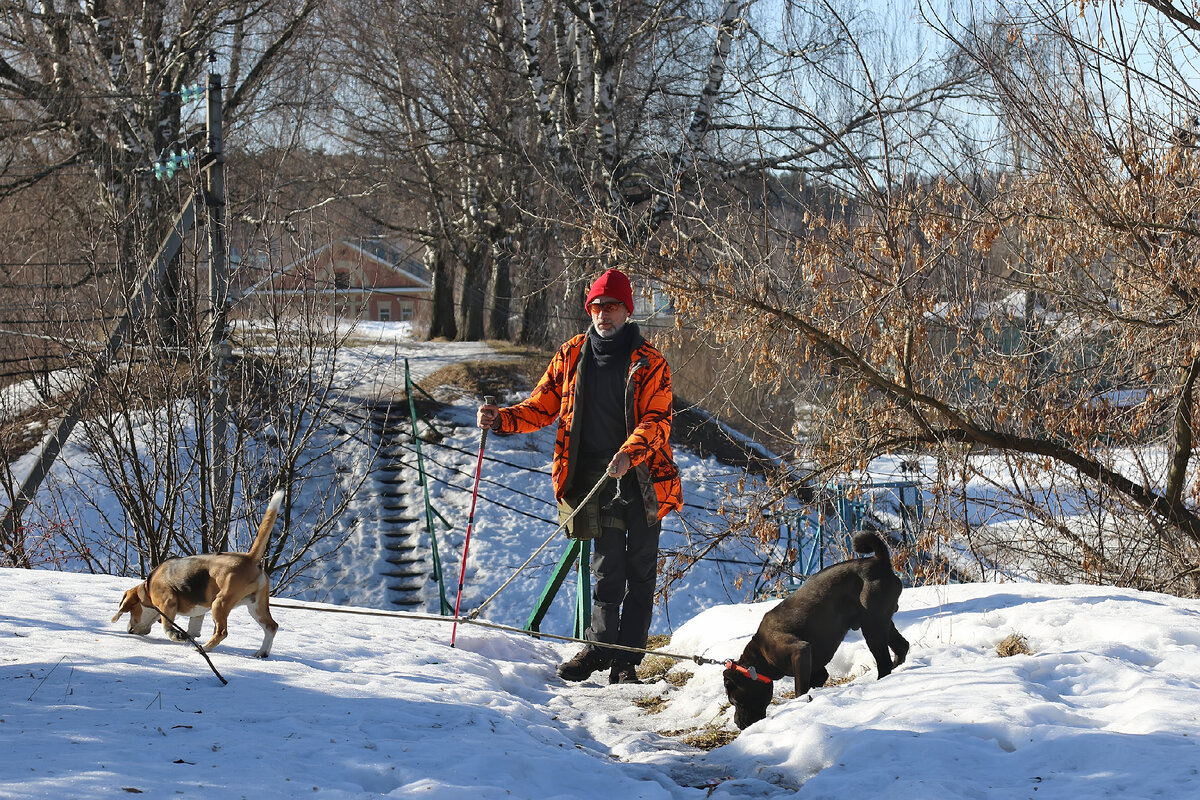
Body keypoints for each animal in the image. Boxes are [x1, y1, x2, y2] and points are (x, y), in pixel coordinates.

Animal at [720, 534, 907, 729]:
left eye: (736, 702)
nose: (737, 723)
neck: (760, 655)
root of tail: (879, 561)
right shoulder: (816, 668)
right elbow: (816, 680)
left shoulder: (799, 652)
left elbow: (800, 689)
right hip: (882, 623)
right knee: (902, 646)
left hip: (872, 628)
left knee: (884, 662)